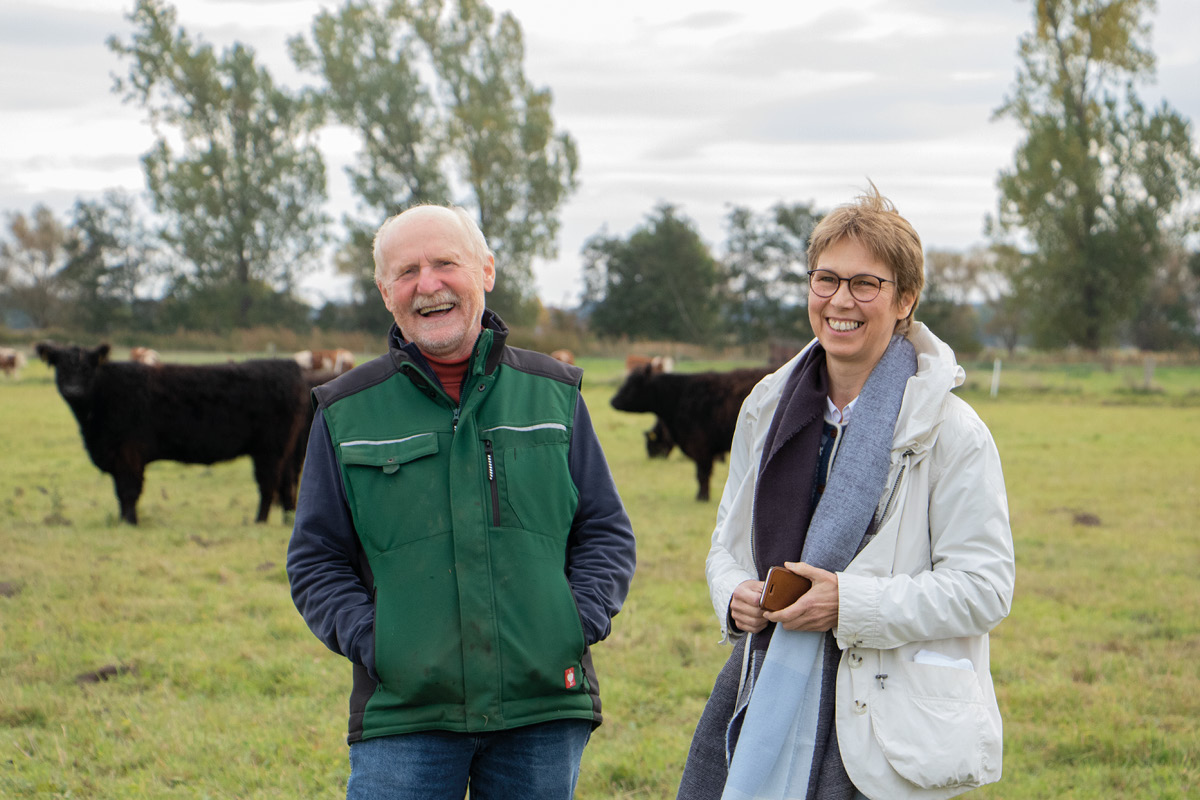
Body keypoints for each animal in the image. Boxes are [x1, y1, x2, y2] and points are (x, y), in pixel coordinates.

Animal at [39, 343, 314, 525]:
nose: (73, 390)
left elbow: (129, 491)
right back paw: (287, 520)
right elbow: (120, 493)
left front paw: (130, 523)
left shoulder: (128, 453)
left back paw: (259, 521)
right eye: (60, 367)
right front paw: (123, 520)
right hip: (285, 449)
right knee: (287, 483)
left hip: (270, 448)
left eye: (87, 368)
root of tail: (289, 366)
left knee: (269, 484)